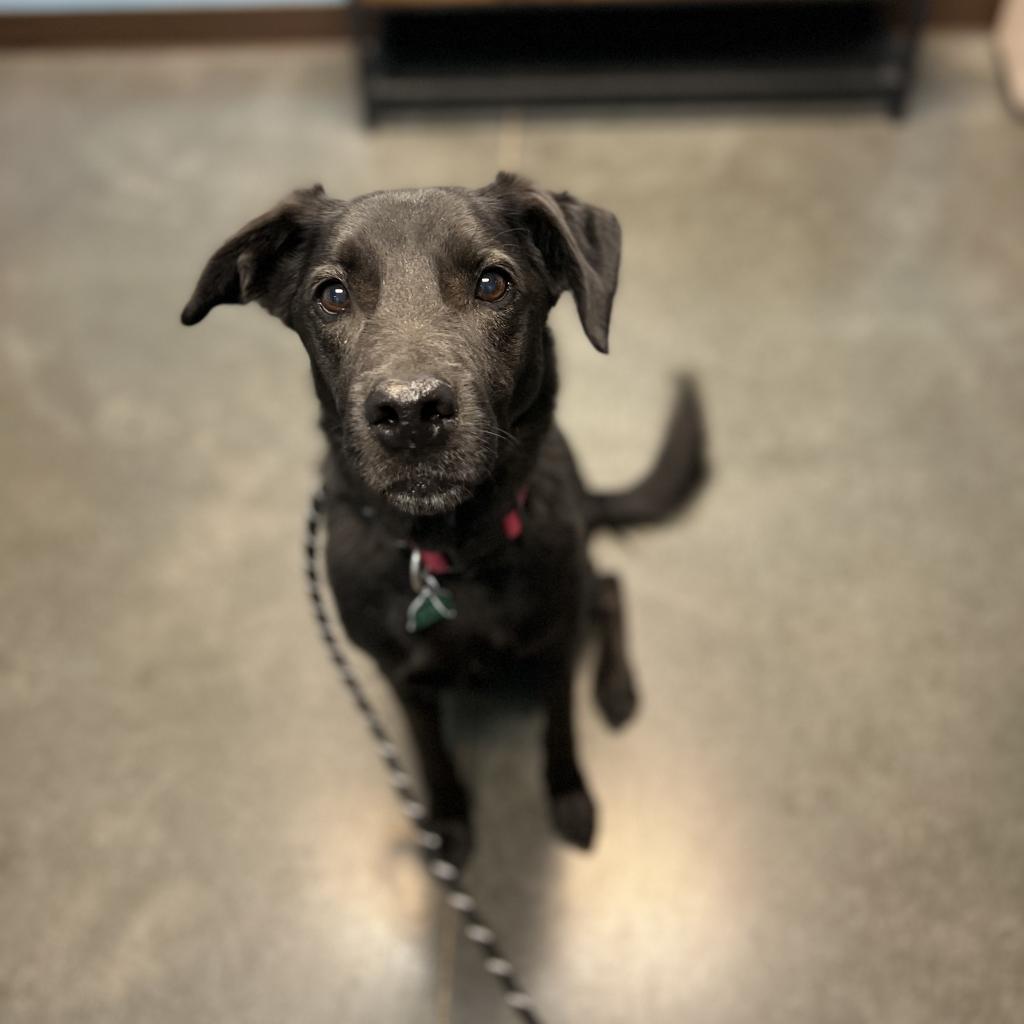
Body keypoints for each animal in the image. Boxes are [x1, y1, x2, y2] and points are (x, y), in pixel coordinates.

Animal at [182, 174, 704, 864]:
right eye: (333, 295)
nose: (409, 414)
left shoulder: (554, 648)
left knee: (609, 588)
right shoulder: (402, 678)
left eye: (492, 283)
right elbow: (431, 752)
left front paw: (569, 796)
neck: (450, 555)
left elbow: (560, 732)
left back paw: (616, 690)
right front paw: (448, 822)